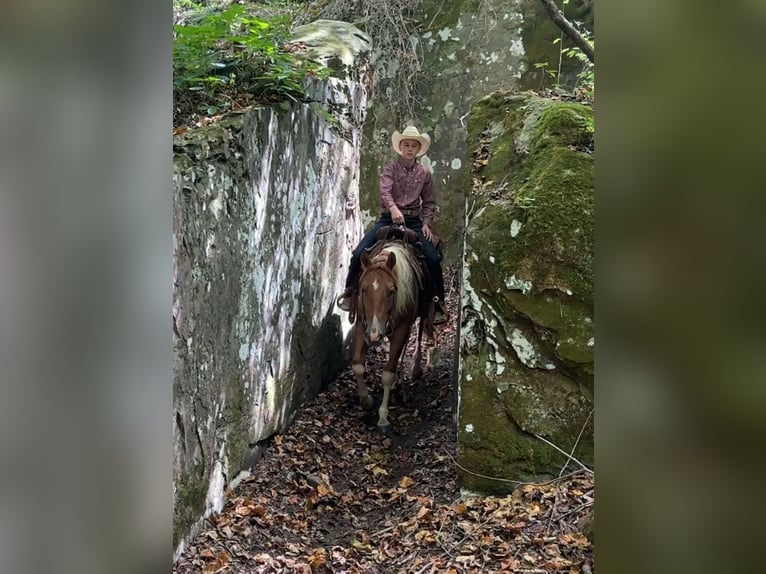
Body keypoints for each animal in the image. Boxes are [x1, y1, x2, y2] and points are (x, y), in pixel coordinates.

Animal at [350, 227, 435, 434]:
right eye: (363, 289)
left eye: (390, 291)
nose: (375, 335)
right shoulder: (362, 324)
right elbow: (357, 364)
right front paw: (366, 400)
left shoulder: (402, 328)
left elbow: (388, 374)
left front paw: (383, 418)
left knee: (418, 335)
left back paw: (415, 369)